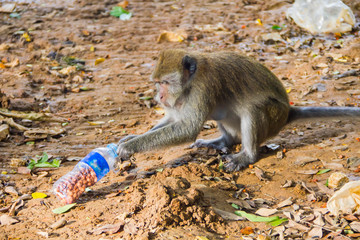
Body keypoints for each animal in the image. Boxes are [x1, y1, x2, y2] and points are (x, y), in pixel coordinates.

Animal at [117, 48, 360, 172]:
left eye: (165, 83)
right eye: (157, 83)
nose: (159, 97)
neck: (190, 81)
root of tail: (287, 114)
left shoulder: (203, 87)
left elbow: (187, 128)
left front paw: (129, 146)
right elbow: (173, 119)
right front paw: (130, 138)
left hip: (274, 116)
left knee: (254, 109)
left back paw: (247, 156)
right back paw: (223, 142)